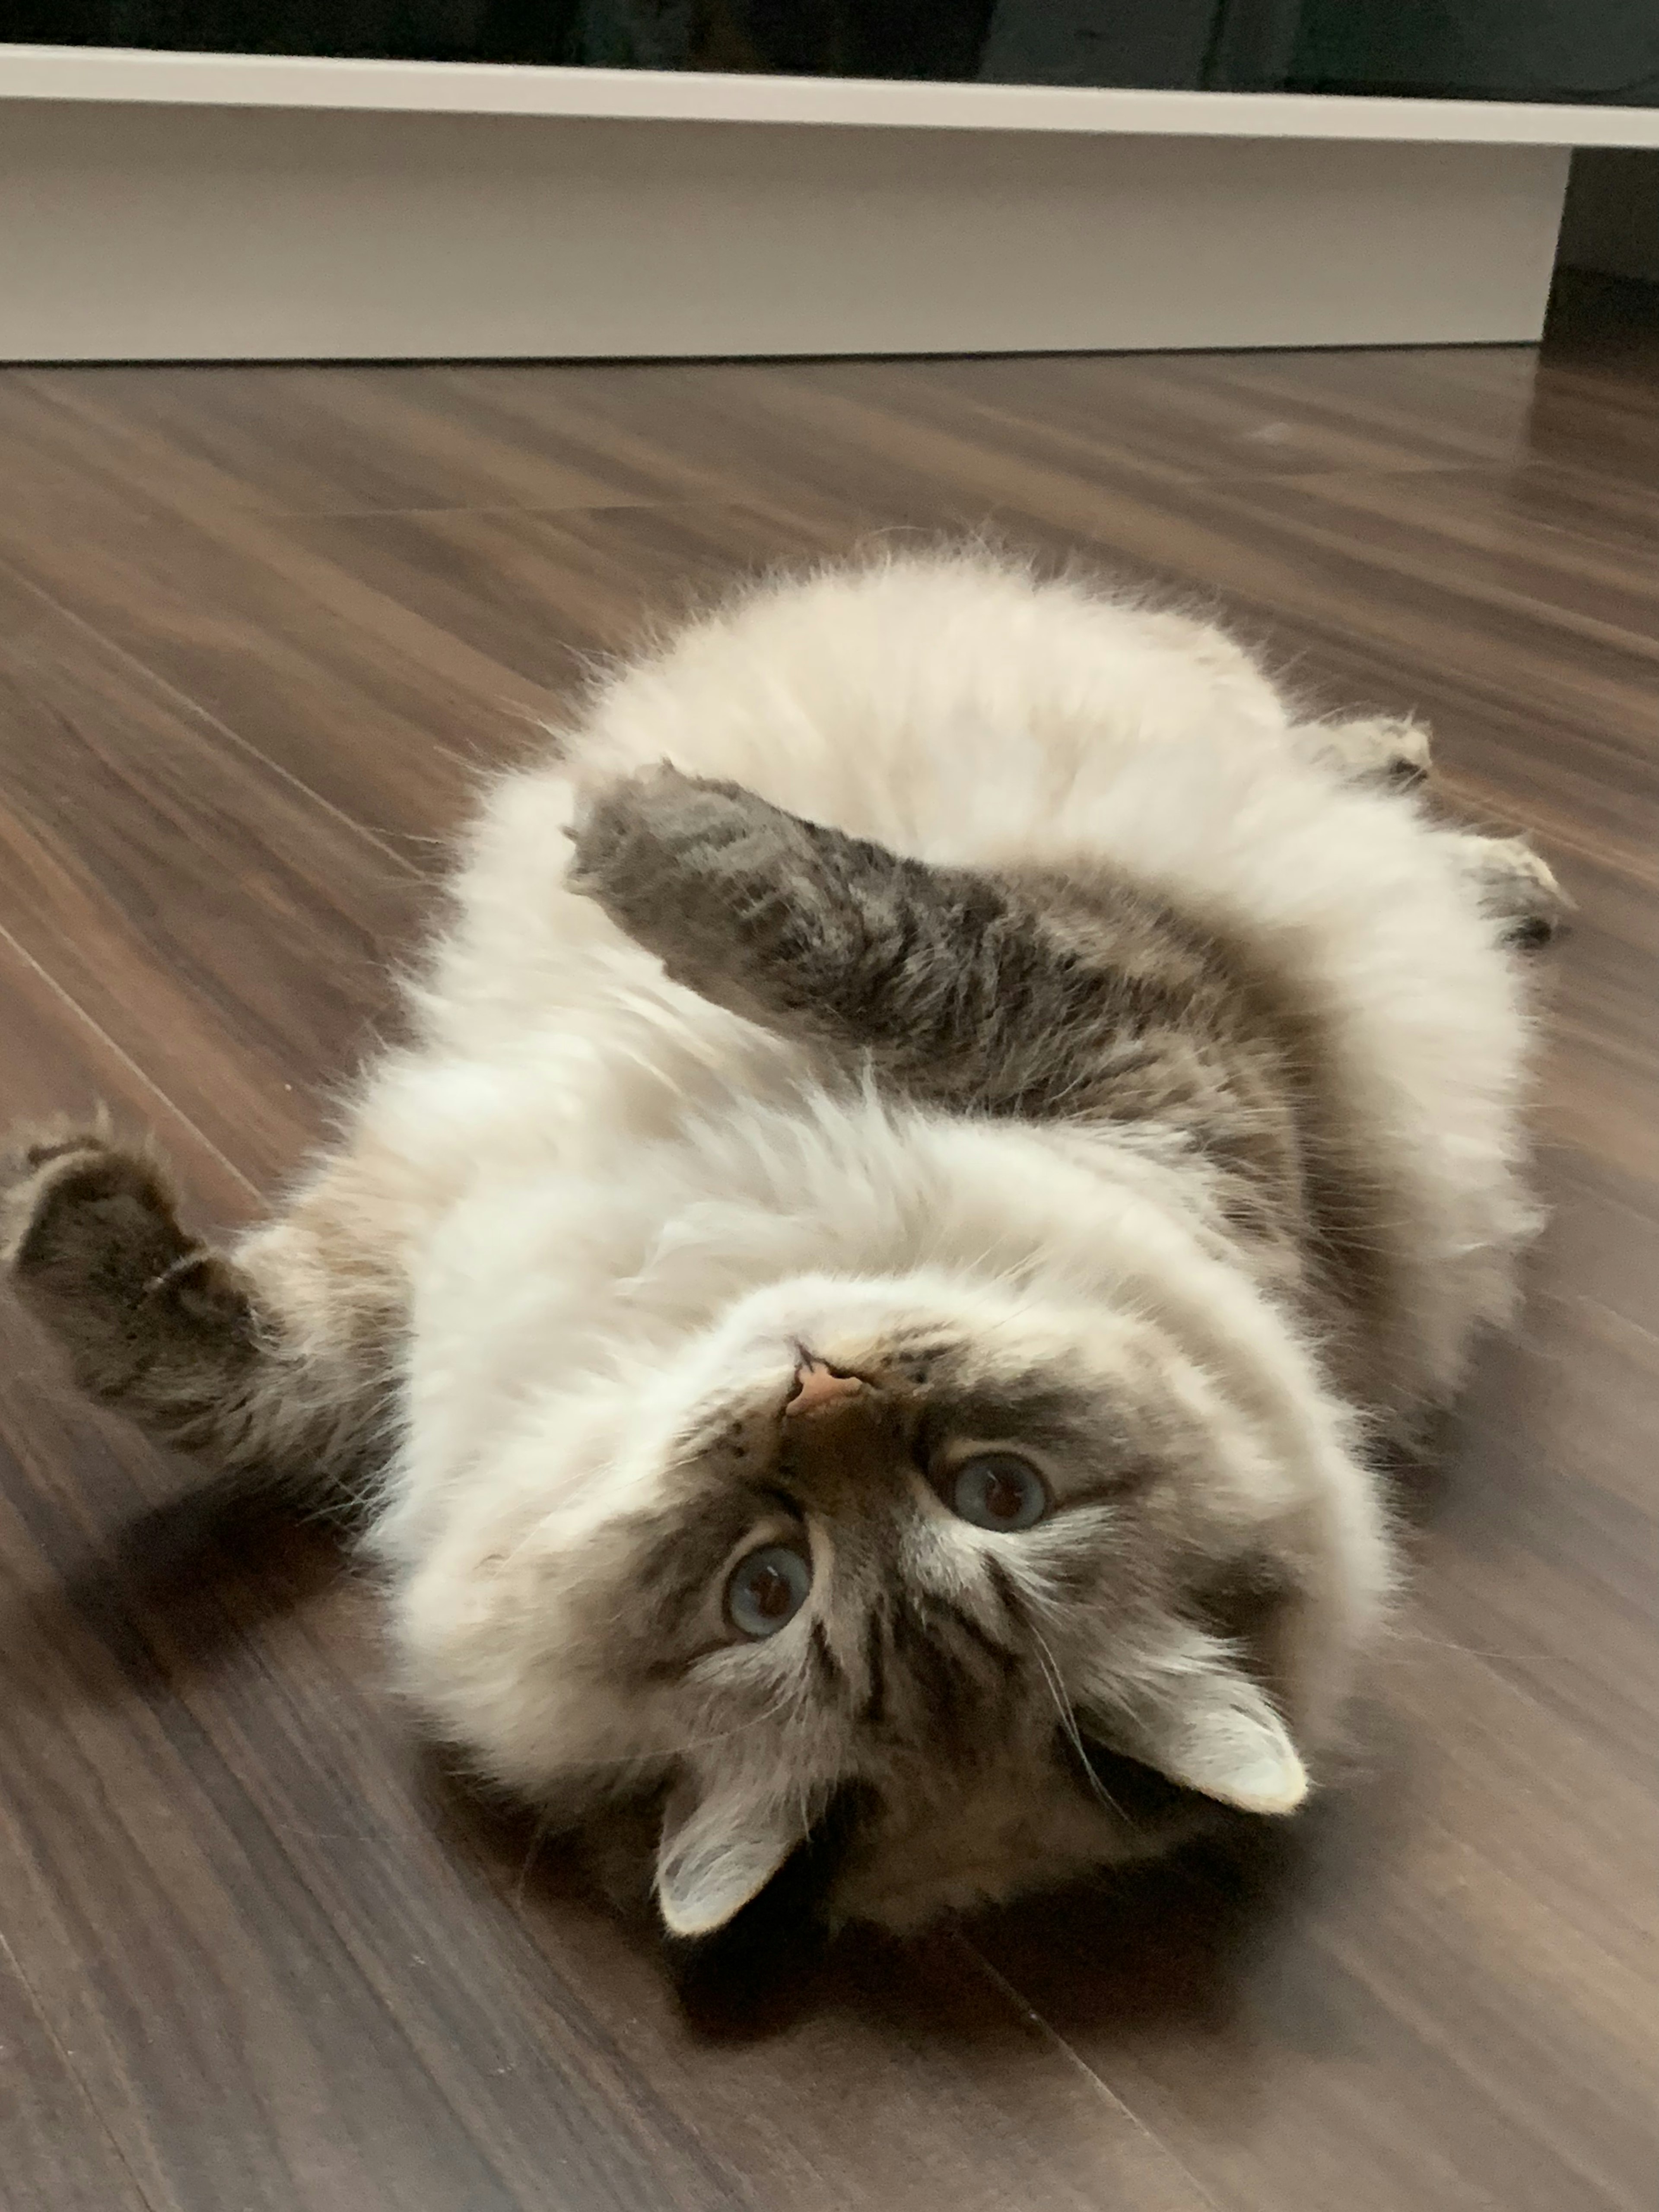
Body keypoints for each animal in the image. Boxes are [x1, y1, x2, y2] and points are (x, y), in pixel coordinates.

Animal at [3, 548, 1557, 1938]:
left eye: (996, 1495)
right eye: (764, 1586)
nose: (819, 1389)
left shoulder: (1140, 1026)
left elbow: (900, 940)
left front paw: (651, 836)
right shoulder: (438, 1223)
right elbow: (249, 1366)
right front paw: (55, 1220)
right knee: (1331, 765)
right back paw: (1465, 826)